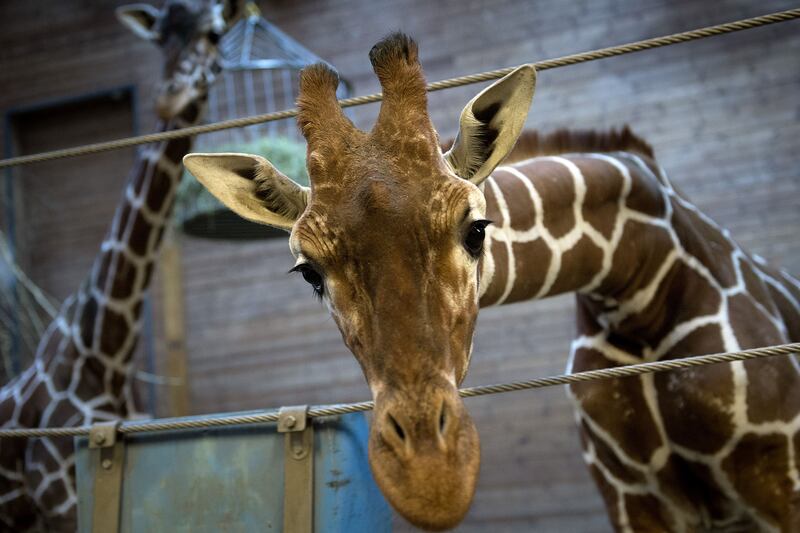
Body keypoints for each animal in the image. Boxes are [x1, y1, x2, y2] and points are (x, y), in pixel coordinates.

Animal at [185, 33, 800, 531]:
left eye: (476, 229)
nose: (431, 478)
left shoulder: (780, 478)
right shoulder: (631, 499)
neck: (638, 283)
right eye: (309, 271)